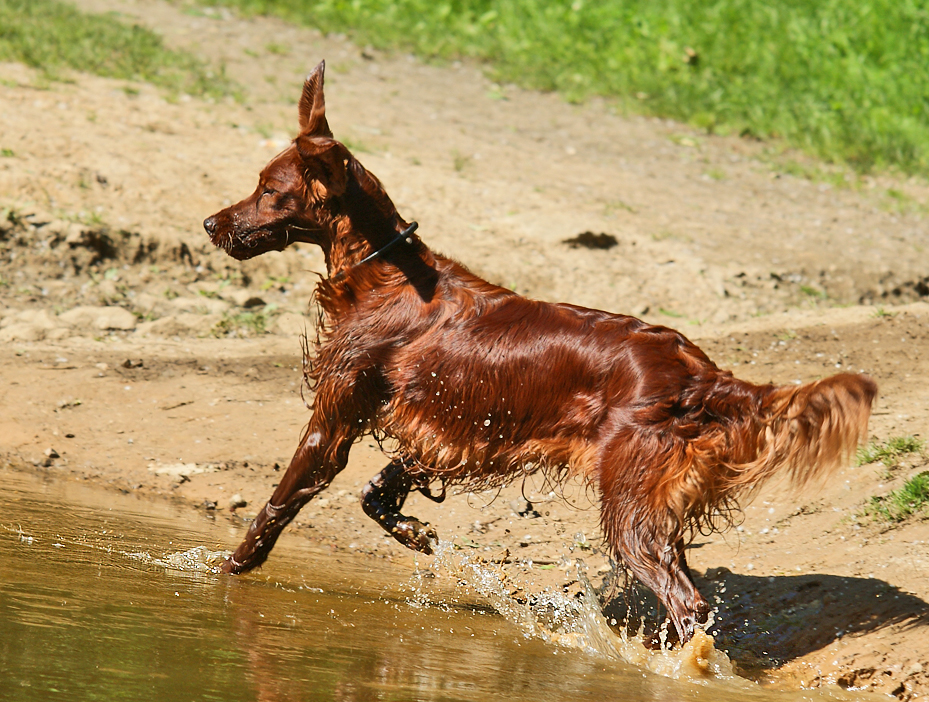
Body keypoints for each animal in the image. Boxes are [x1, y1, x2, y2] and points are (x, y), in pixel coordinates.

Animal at [205, 63, 876, 652]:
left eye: (269, 191)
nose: (211, 223)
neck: (387, 277)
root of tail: (702, 375)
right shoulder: (448, 431)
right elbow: (378, 490)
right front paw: (416, 532)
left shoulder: (336, 419)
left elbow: (275, 506)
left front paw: (221, 574)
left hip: (630, 507)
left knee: (687, 604)